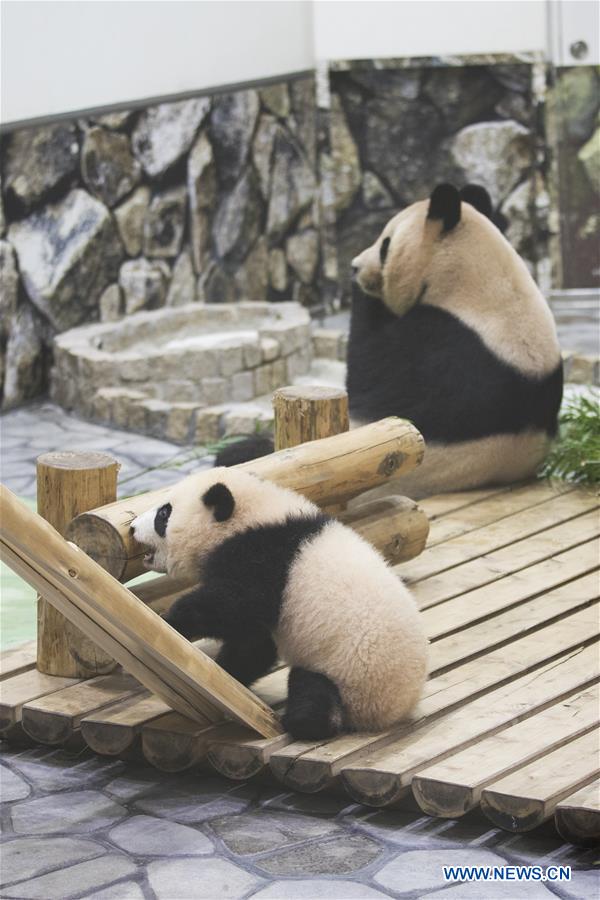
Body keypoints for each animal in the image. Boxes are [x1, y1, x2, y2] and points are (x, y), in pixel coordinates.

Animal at [130, 467, 428, 740]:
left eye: (163, 514)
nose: (132, 528)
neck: (251, 516)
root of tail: (391, 712)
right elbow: (255, 643)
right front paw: (228, 671)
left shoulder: (263, 557)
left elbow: (236, 607)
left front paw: (171, 620)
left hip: (346, 675)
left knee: (314, 693)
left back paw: (299, 721)